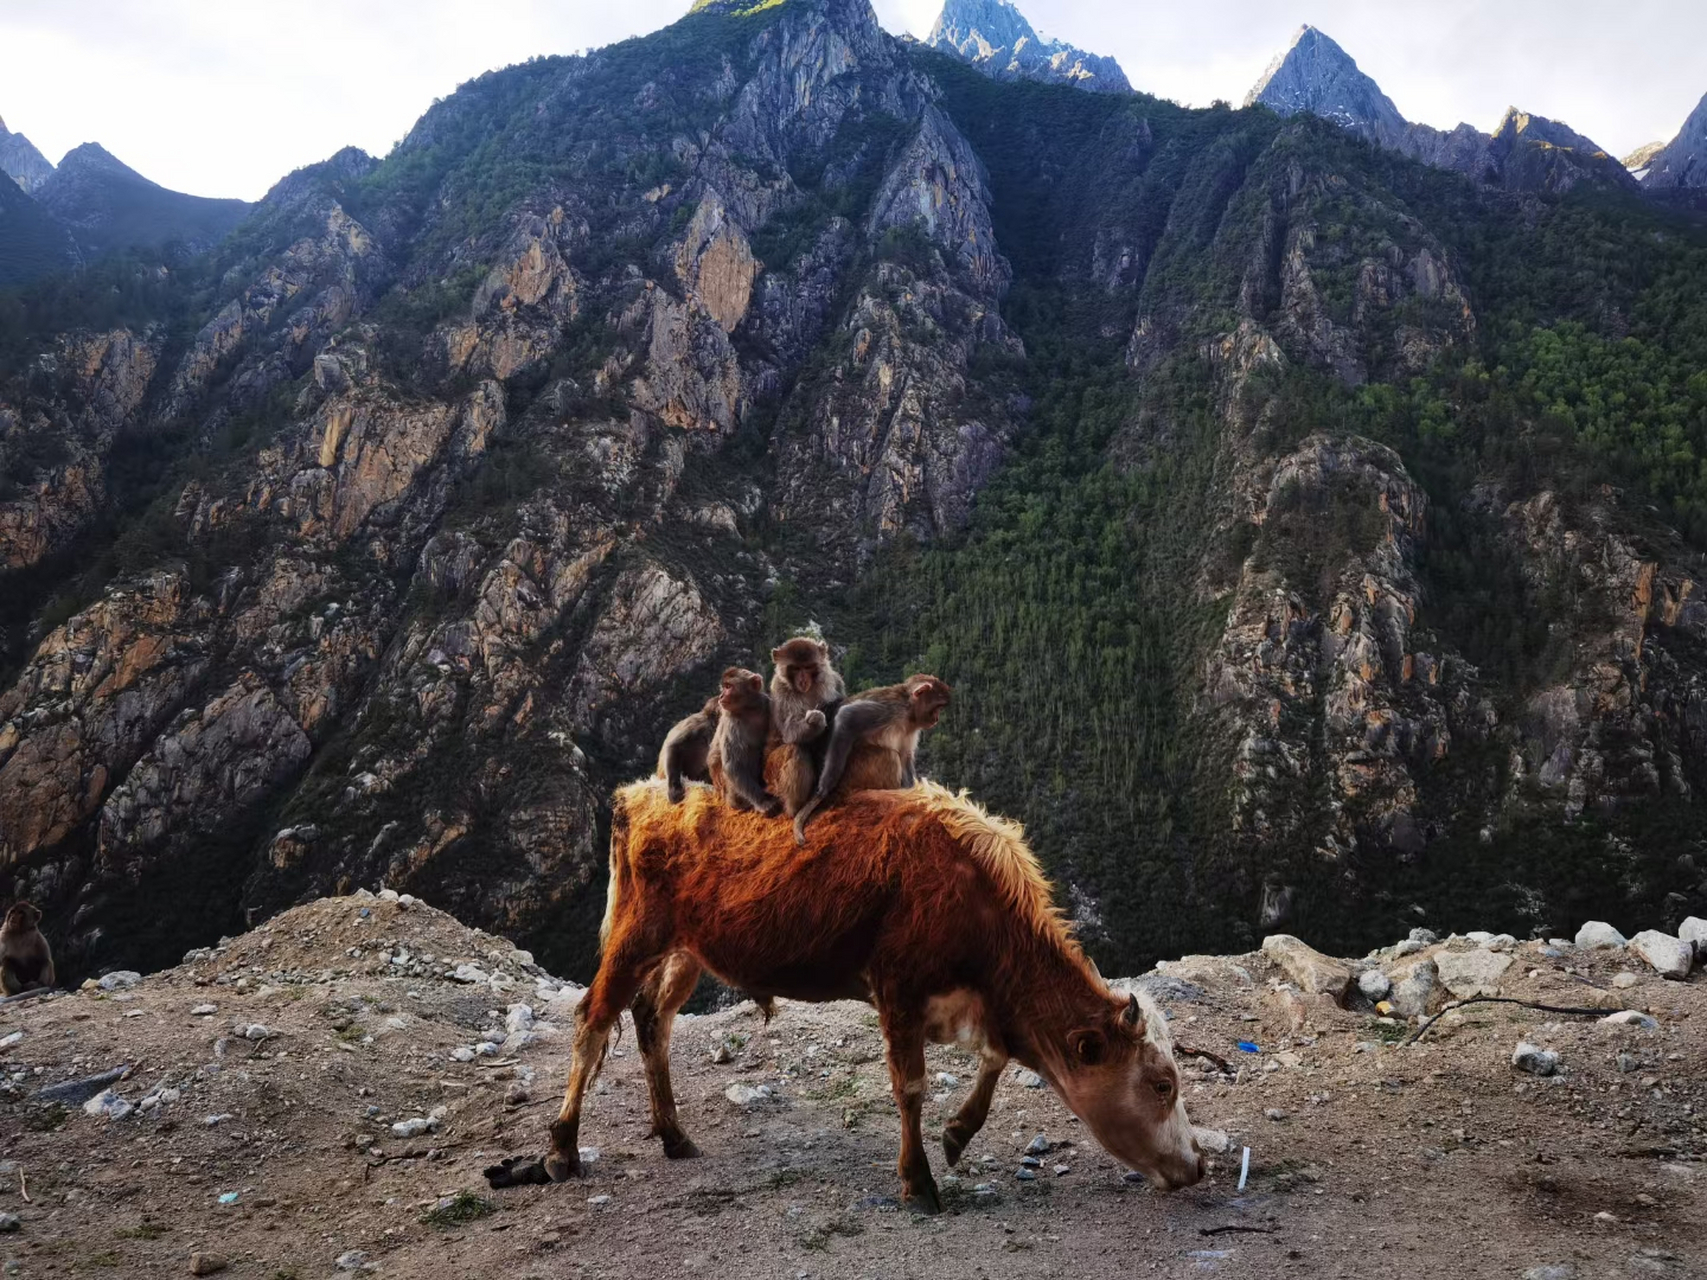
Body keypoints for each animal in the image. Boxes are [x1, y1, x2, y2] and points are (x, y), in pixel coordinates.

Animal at [491, 781, 1215, 1215]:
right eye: (1161, 1085)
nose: (1197, 1165)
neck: (977, 898)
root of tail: (639, 792)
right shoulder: (898, 984)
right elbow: (911, 1086)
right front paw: (918, 1180)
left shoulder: (976, 1001)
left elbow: (997, 1058)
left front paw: (957, 1134)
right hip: (636, 933)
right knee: (593, 1020)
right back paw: (561, 1150)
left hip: (687, 950)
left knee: (651, 1020)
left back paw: (673, 1135)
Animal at [764, 638, 843, 815]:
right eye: (795, 668)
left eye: (807, 667)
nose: (802, 680)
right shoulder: (781, 689)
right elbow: (789, 732)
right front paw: (816, 719)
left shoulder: (834, 680)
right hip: (771, 772)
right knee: (795, 749)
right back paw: (795, 808)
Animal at [792, 675, 955, 846]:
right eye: (937, 707)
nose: (936, 719)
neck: (908, 711)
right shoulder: (889, 710)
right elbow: (847, 717)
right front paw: (826, 785)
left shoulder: (911, 728)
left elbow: (905, 756)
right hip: (855, 773)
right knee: (889, 756)